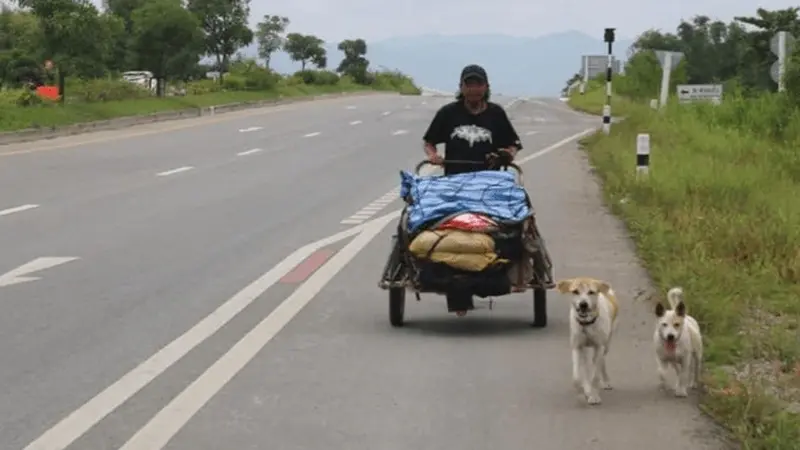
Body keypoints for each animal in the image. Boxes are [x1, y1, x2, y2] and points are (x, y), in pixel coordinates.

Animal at [556, 276, 620, 406]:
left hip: (607, 342)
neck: (586, 325)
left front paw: (594, 395)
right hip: (585, 348)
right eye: (575, 291)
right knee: (587, 365)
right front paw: (584, 391)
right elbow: (577, 377)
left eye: (591, 292)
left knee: (601, 361)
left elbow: (595, 376)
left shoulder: (599, 346)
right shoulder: (577, 346)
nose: (583, 304)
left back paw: (605, 381)